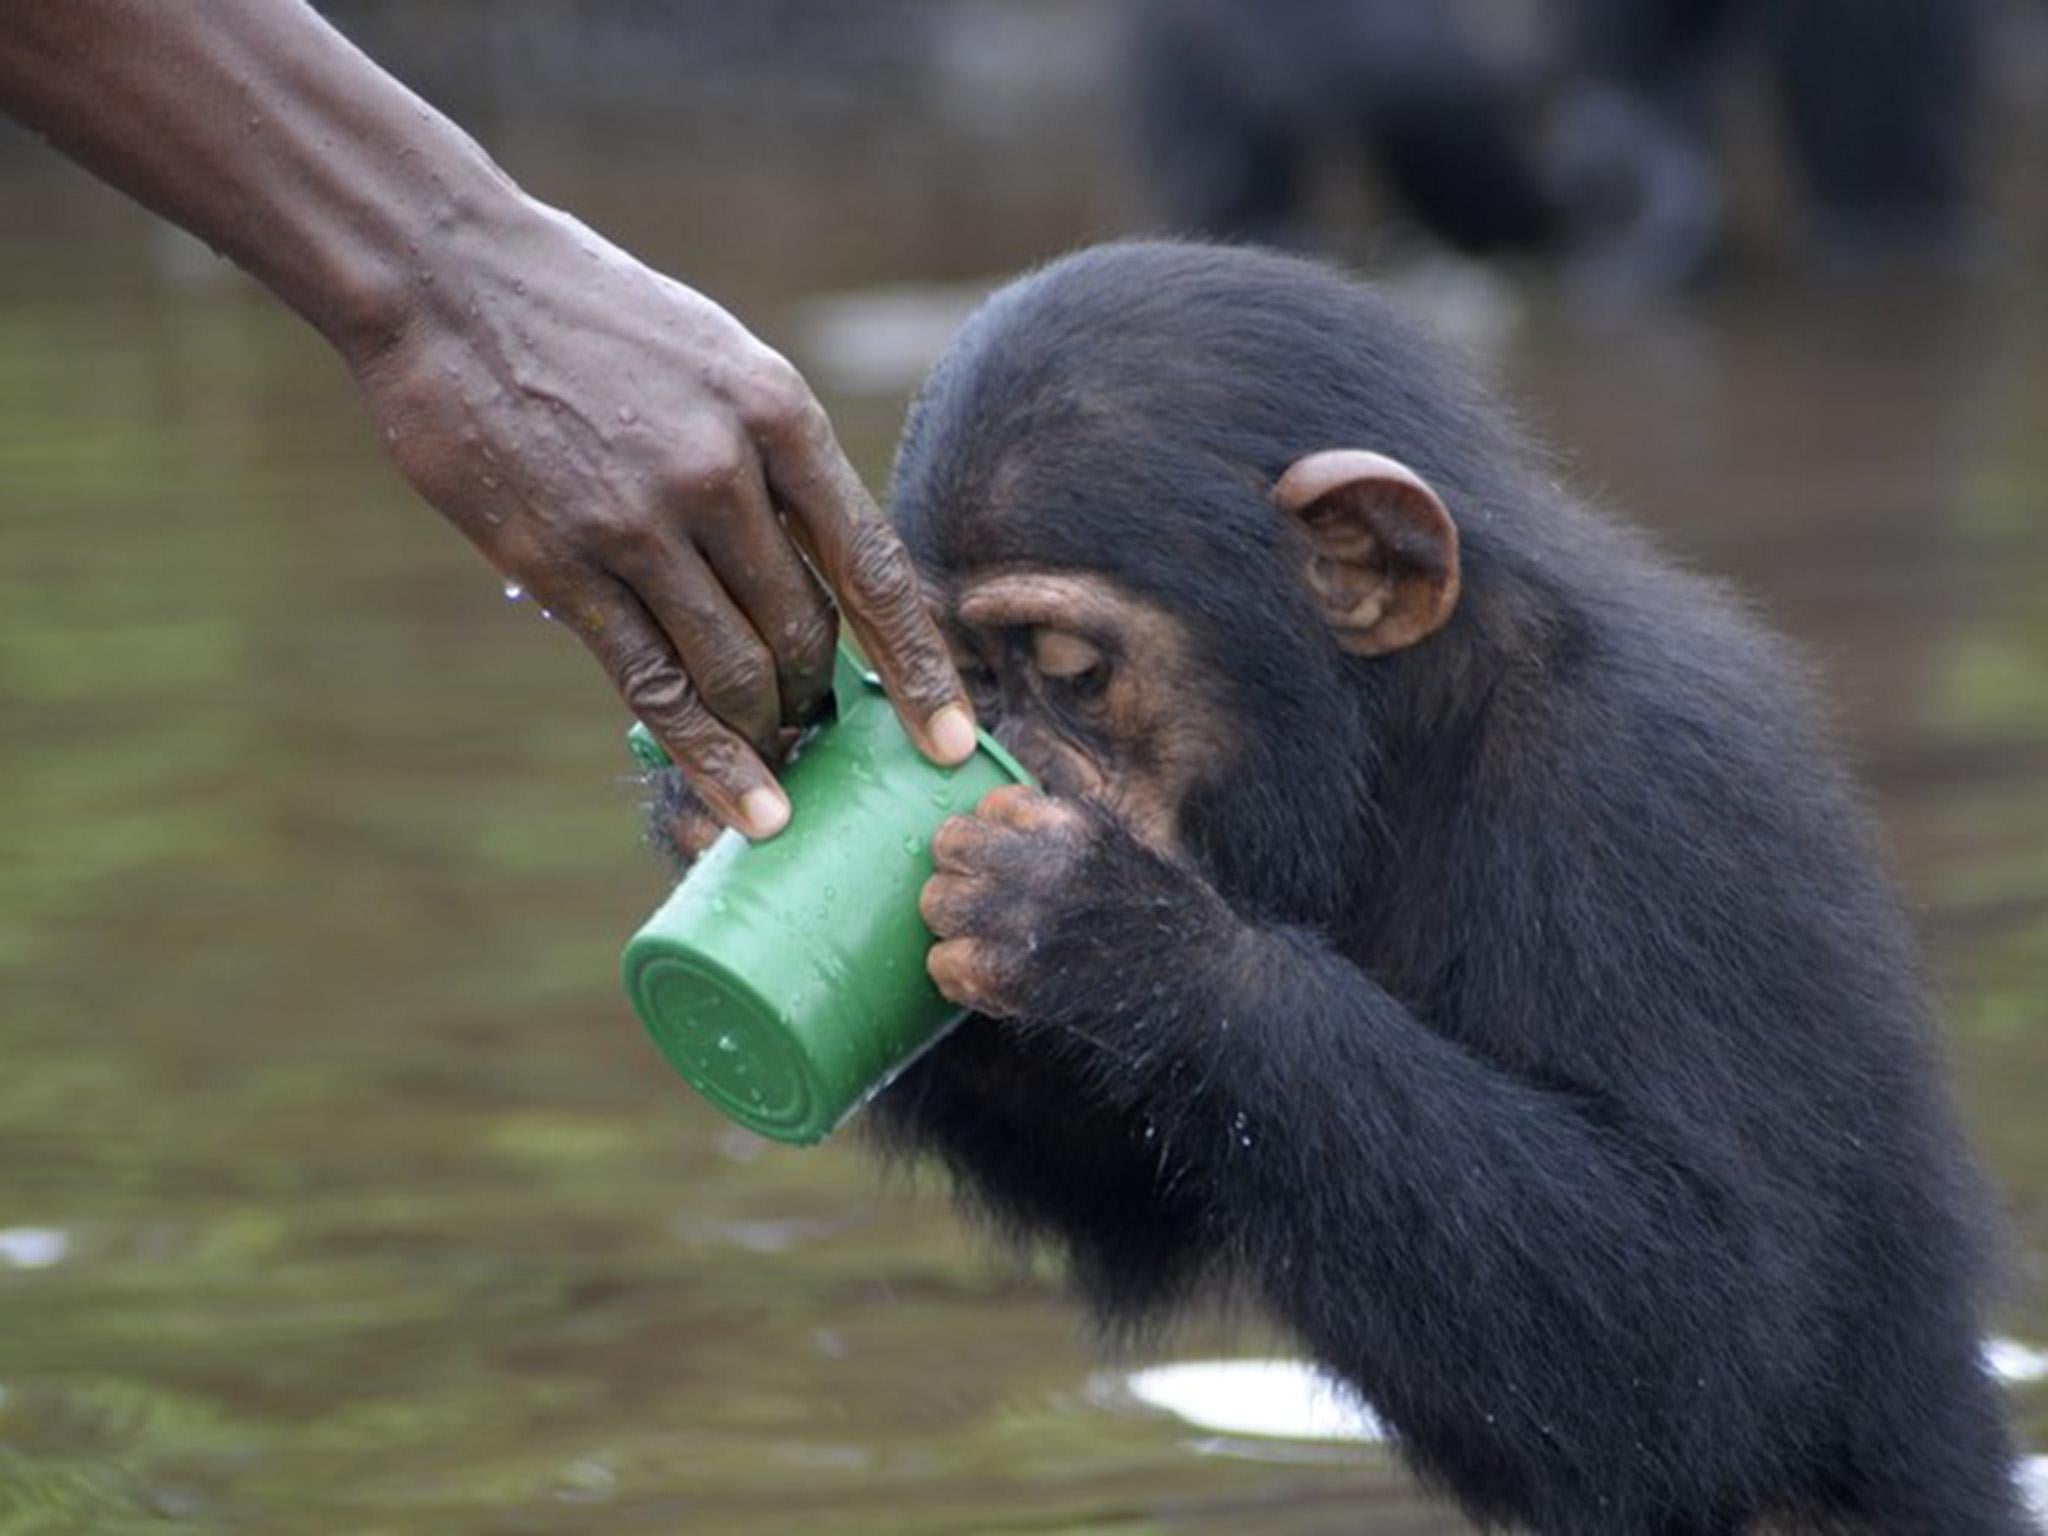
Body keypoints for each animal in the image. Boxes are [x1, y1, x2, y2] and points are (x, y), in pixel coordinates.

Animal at [647, 246, 2023, 1531]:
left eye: (1069, 669)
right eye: (968, 675)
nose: (1012, 753)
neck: (1396, 738)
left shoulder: (1648, 799)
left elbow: (1709, 1329)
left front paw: (1114, 935)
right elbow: (1131, 1191)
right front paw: (709, 796)